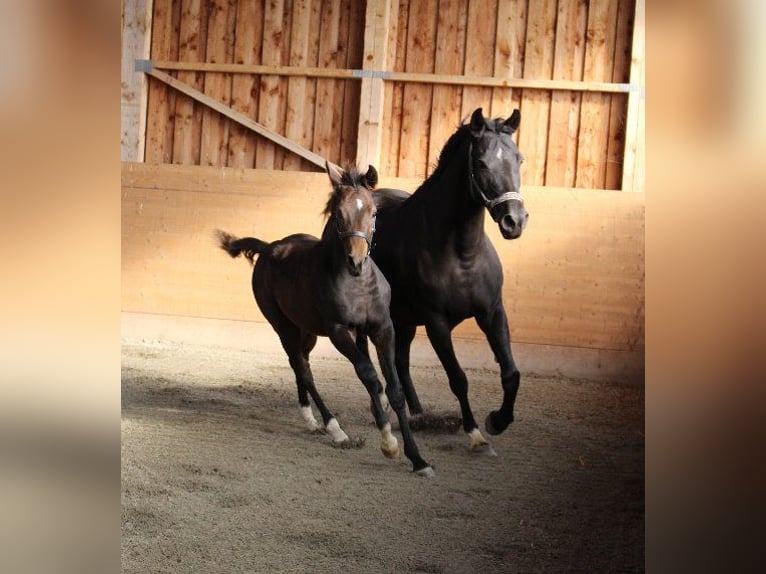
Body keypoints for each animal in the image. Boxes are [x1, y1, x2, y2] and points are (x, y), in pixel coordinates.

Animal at [219, 164, 436, 480]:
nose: (356, 261)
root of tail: (269, 247)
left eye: (373, 213)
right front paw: (388, 443)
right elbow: (369, 375)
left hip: (306, 331)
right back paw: (333, 427)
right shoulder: (338, 332)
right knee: (303, 368)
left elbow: (394, 389)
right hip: (283, 326)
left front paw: (418, 459)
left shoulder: (383, 329)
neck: (357, 285)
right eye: (338, 214)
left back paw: (310, 420)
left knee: (302, 364)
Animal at [364, 108, 532, 456]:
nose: (514, 221)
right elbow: (458, 379)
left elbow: (511, 373)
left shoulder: (492, 312)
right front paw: (476, 433)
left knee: (401, 360)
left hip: (405, 320)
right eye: (481, 163)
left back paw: (416, 412)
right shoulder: (436, 323)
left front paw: (498, 420)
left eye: (519, 159)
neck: (462, 254)